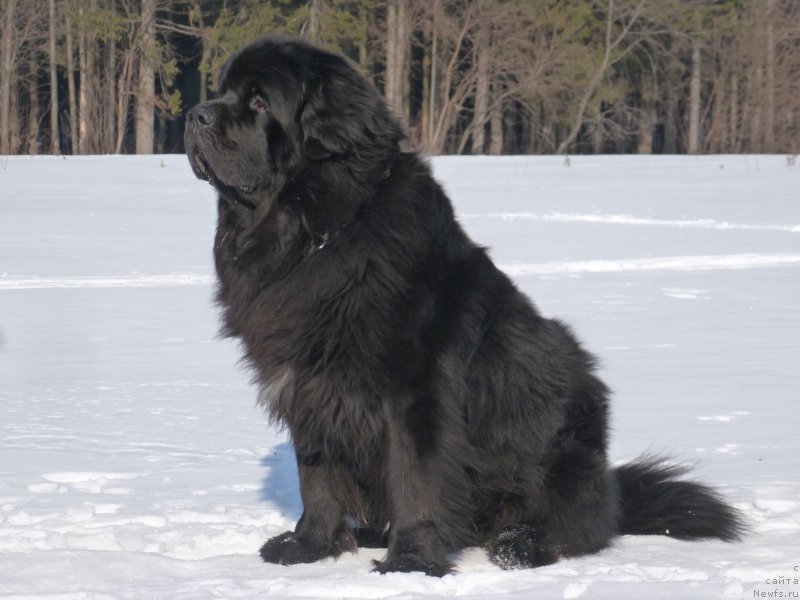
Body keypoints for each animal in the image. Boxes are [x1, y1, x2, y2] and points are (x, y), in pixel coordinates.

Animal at [183, 34, 744, 576]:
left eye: (259, 100)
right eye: (222, 90)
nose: (195, 114)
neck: (309, 236)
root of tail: (613, 491)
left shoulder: (414, 394)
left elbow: (416, 478)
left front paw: (410, 562)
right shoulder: (309, 385)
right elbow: (316, 475)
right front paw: (308, 547)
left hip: (566, 449)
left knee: (574, 528)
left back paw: (519, 545)